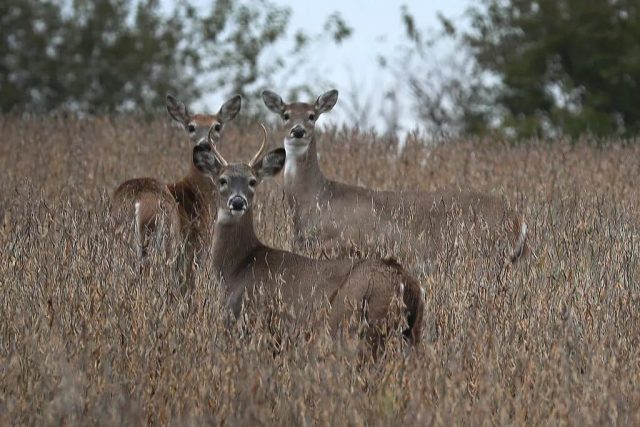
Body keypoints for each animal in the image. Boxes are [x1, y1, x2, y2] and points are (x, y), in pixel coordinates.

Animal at [111, 92, 241, 290]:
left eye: (217, 126)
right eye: (191, 126)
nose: (204, 145)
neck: (198, 194)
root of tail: (138, 199)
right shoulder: (195, 248)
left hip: (118, 242)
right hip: (166, 242)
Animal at [195, 123, 424, 348]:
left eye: (252, 181)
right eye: (222, 180)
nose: (237, 201)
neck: (238, 267)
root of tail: (404, 281)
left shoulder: (246, 319)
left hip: (348, 319)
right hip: (412, 332)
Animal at [262, 90, 528, 276]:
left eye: (312, 116)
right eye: (286, 115)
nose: (297, 131)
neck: (316, 198)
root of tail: (519, 220)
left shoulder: (344, 247)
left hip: (484, 257)